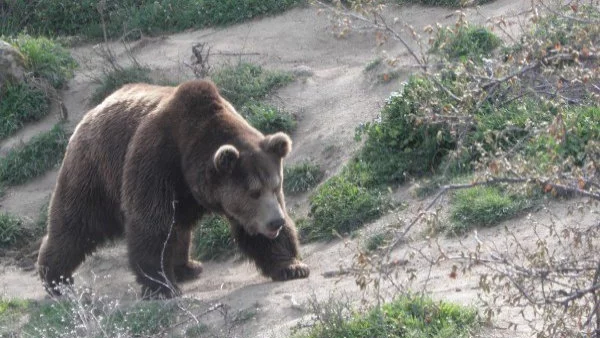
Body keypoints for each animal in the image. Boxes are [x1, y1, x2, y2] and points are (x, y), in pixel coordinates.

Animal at [37, 80, 310, 298]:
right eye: (254, 192)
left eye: (275, 186)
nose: (275, 222)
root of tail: (92, 111)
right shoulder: (156, 162)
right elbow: (151, 224)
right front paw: (162, 286)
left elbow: (256, 234)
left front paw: (292, 266)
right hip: (96, 171)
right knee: (77, 223)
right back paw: (56, 279)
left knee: (179, 227)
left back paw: (188, 266)